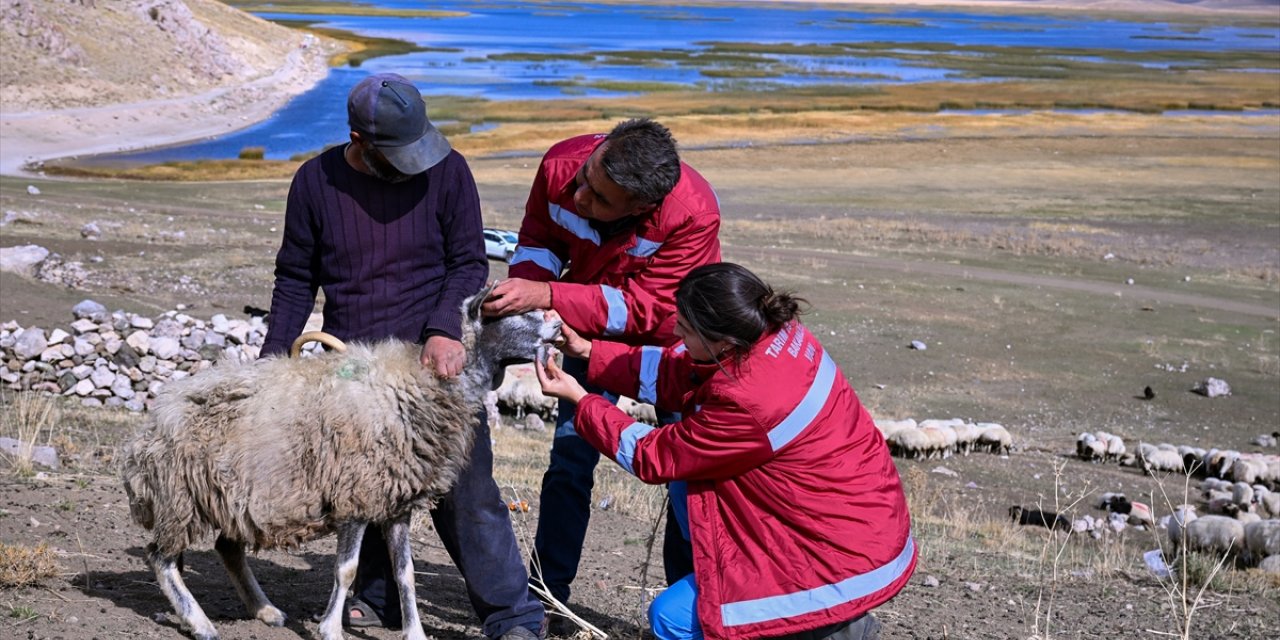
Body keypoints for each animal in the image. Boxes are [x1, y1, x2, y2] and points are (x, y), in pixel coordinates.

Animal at [120, 290, 560, 640]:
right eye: (516, 313)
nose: (558, 325)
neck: (421, 384)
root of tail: (158, 412)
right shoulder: (356, 496)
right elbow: (346, 570)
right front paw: (330, 630)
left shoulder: (395, 502)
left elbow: (406, 574)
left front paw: (414, 633)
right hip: (179, 496)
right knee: (159, 558)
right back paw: (201, 624)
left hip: (231, 495)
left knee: (226, 549)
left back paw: (266, 611)